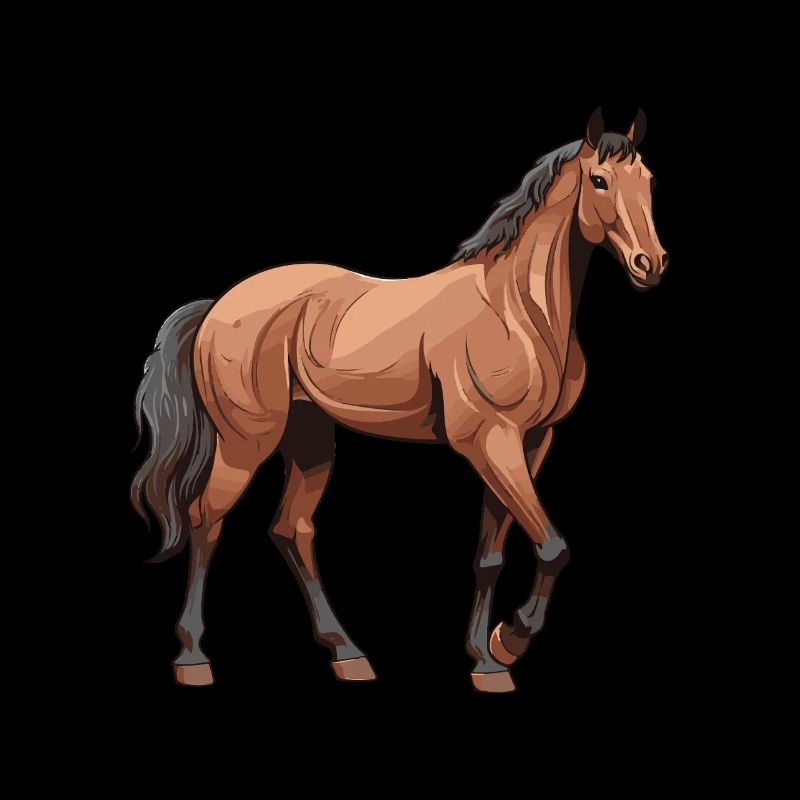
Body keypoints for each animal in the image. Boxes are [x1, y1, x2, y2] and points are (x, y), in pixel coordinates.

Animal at [131, 107, 668, 692]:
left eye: (649, 180)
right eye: (600, 180)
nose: (651, 264)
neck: (518, 312)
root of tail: (218, 307)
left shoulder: (529, 444)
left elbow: (491, 554)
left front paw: (486, 661)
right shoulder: (490, 442)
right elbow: (553, 547)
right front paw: (510, 638)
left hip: (310, 439)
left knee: (291, 530)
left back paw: (348, 654)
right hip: (245, 443)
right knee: (206, 520)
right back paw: (193, 659)